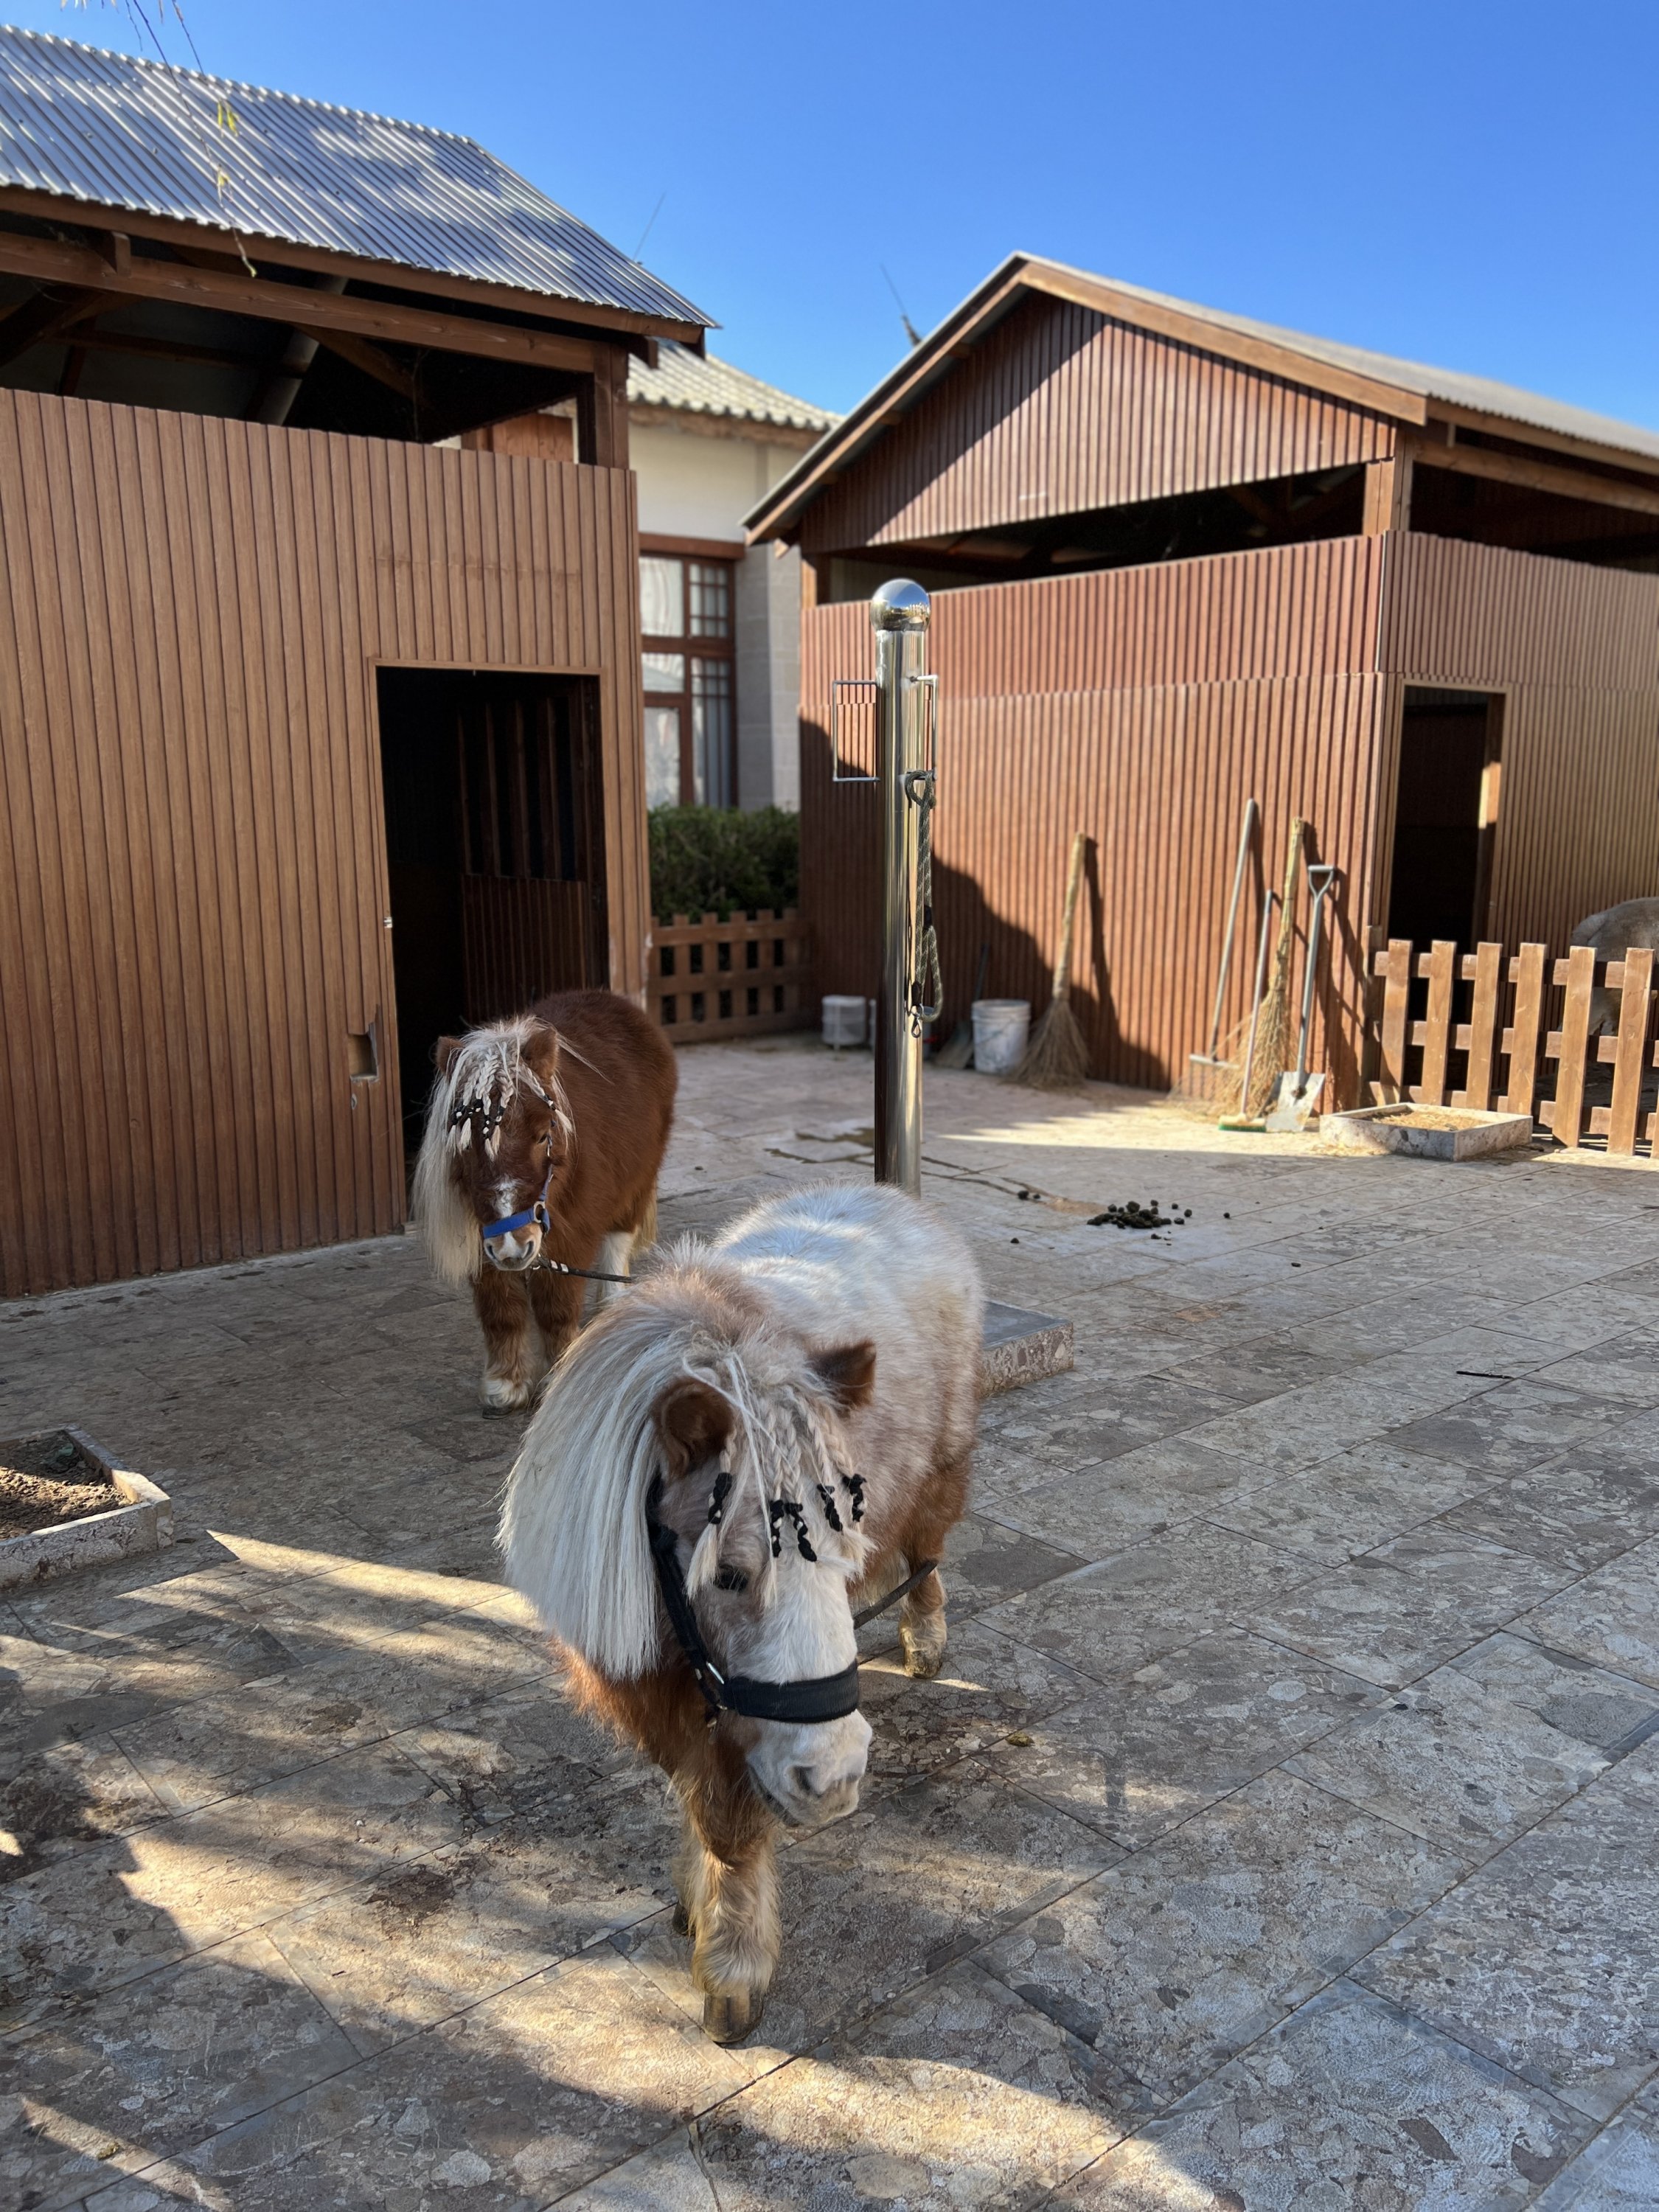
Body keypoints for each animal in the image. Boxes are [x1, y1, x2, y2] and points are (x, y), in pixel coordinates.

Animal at [414, 995, 677, 1407]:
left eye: (542, 1135)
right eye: (467, 1145)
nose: (514, 1247)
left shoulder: (573, 1233)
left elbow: (557, 1307)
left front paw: (558, 1378)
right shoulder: (484, 1239)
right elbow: (501, 1310)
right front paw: (505, 1385)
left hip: (639, 1176)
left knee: (619, 1237)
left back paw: (613, 1304)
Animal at [500, 1186, 982, 2044]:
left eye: (844, 1552)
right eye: (727, 1574)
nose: (835, 1778)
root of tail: (896, 1200)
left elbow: (732, 1826)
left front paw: (732, 1967)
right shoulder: (656, 1691)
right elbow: (701, 1805)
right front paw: (697, 1906)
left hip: (943, 1473)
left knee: (926, 1553)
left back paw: (924, 1638)